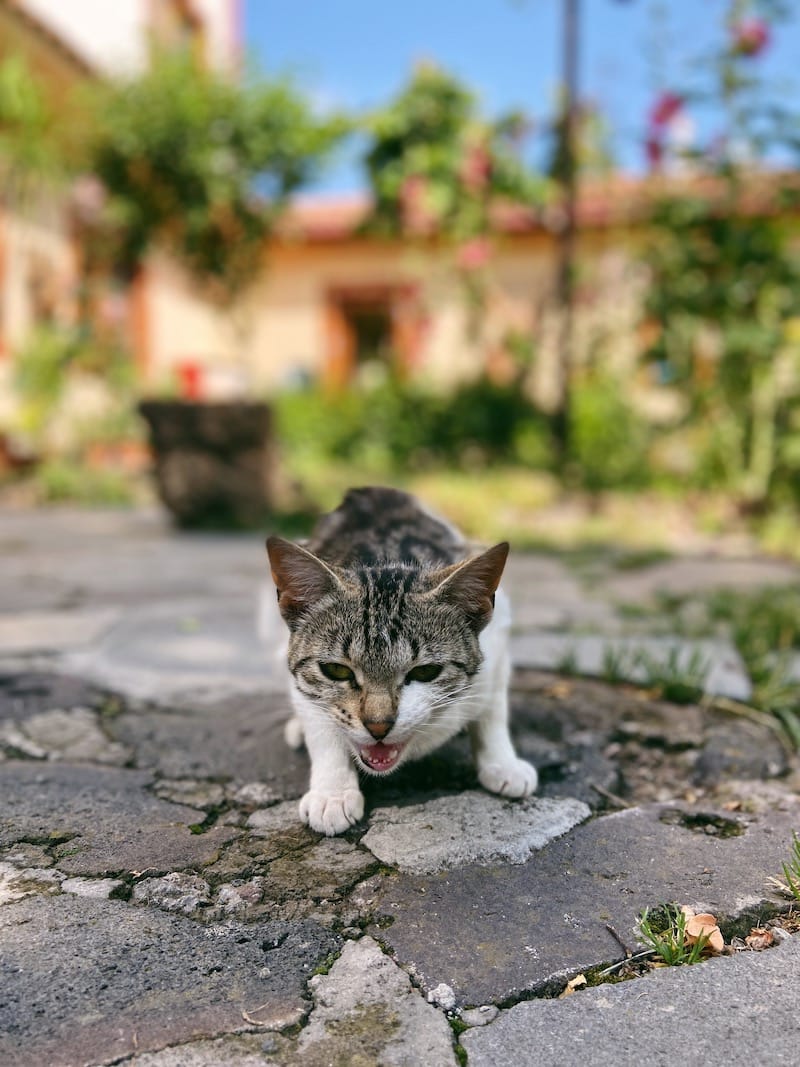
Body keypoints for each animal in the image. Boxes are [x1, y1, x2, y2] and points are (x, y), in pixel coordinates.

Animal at [267, 488, 539, 836]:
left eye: (426, 671)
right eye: (336, 670)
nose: (378, 726)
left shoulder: (498, 641)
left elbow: (493, 710)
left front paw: (502, 763)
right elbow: (321, 725)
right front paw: (332, 793)